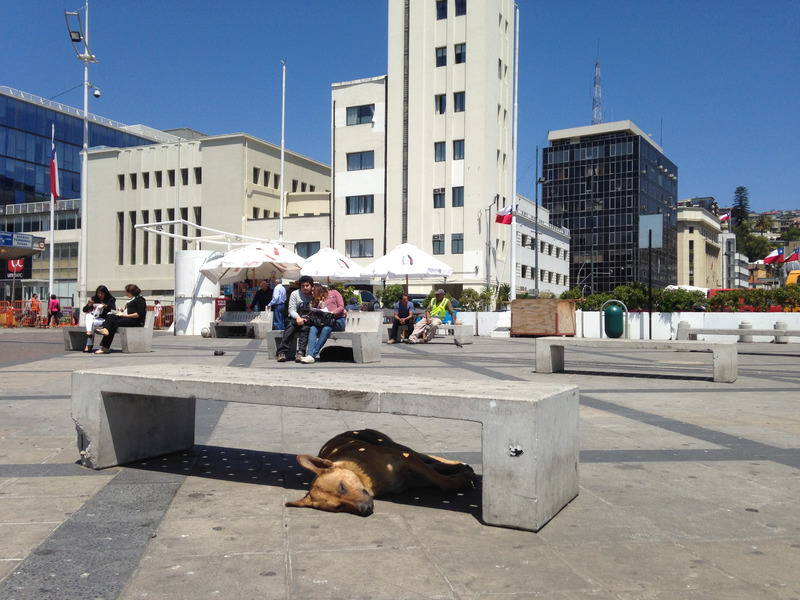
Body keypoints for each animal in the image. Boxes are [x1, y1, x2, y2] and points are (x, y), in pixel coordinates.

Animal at [286, 426, 478, 516]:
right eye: (338, 507)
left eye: (342, 487)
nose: (365, 510)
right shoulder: (414, 478)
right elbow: (438, 477)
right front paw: (458, 477)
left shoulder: (407, 460)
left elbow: (444, 482)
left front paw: (460, 479)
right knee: (433, 463)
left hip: (395, 446)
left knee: (430, 457)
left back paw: (458, 464)